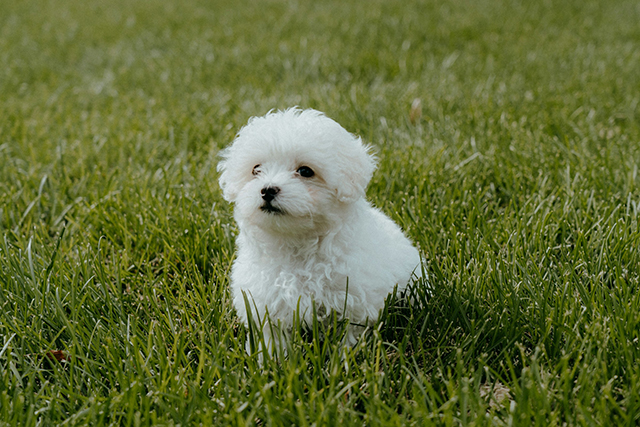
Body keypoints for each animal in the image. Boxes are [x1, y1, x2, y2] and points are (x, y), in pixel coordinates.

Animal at [218, 108, 422, 354]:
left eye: (306, 171)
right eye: (256, 170)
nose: (267, 190)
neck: (296, 244)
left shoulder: (354, 302)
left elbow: (350, 334)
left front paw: (346, 356)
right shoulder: (264, 304)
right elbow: (272, 337)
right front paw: (270, 358)